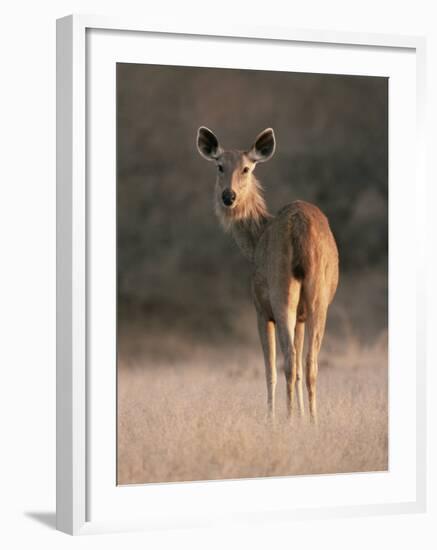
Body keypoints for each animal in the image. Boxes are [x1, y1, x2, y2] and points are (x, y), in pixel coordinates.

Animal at [196, 127, 338, 424]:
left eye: (247, 168)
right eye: (219, 166)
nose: (228, 196)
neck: (256, 238)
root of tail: (301, 227)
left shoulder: (260, 309)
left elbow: (269, 369)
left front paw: (272, 418)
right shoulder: (301, 317)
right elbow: (299, 367)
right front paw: (302, 418)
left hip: (280, 290)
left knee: (288, 360)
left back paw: (287, 419)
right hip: (318, 295)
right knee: (309, 362)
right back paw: (313, 421)